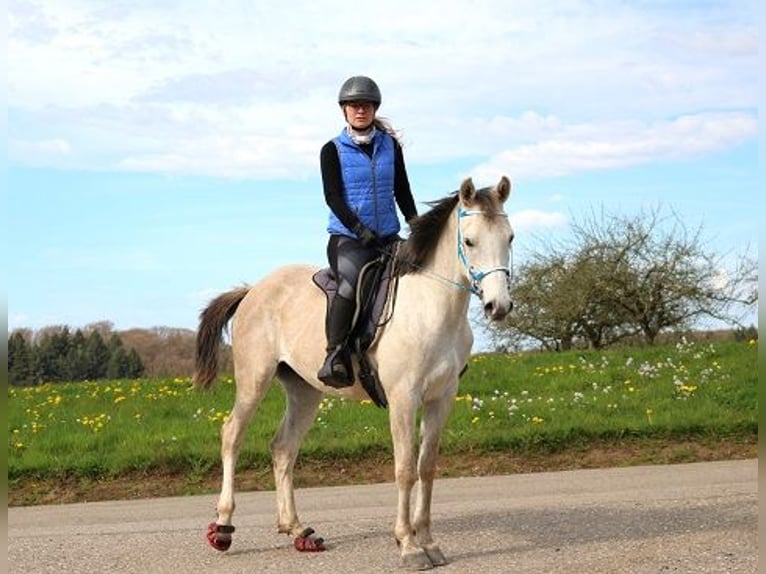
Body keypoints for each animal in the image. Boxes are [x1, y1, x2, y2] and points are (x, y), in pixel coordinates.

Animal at [194, 175, 514, 570]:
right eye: (469, 241)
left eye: (509, 238)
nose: (498, 306)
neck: (431, 308)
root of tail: (254, 289)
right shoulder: (404, 398)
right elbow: (405, 469)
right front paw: (408, 545)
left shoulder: (441, 398)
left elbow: (427, 467)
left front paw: (429, 542)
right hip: (254, 380)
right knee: (232, 435)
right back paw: (223, 527)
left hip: (304, 391)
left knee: (283, 448)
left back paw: (298, 529)